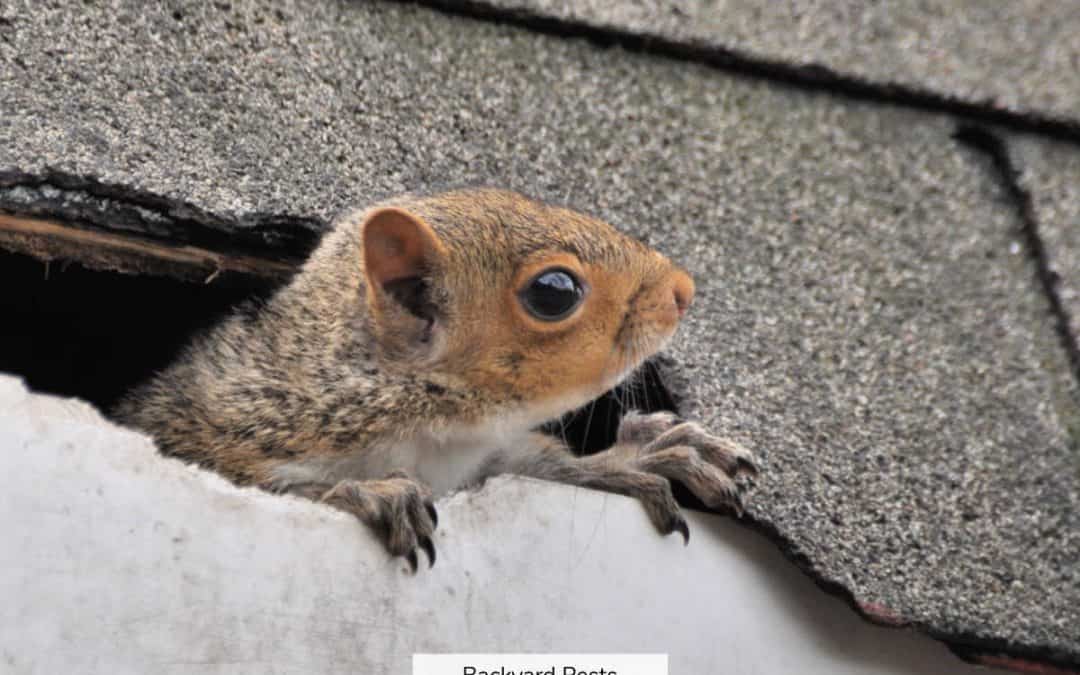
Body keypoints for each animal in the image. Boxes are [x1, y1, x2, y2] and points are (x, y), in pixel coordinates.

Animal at [113, 189, 757, 571]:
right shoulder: (233, 429)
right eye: (554, 292)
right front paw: (368, 491)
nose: (683, 290)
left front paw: (648, 456)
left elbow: (545, 464)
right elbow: (264, 486)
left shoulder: (483, 460)